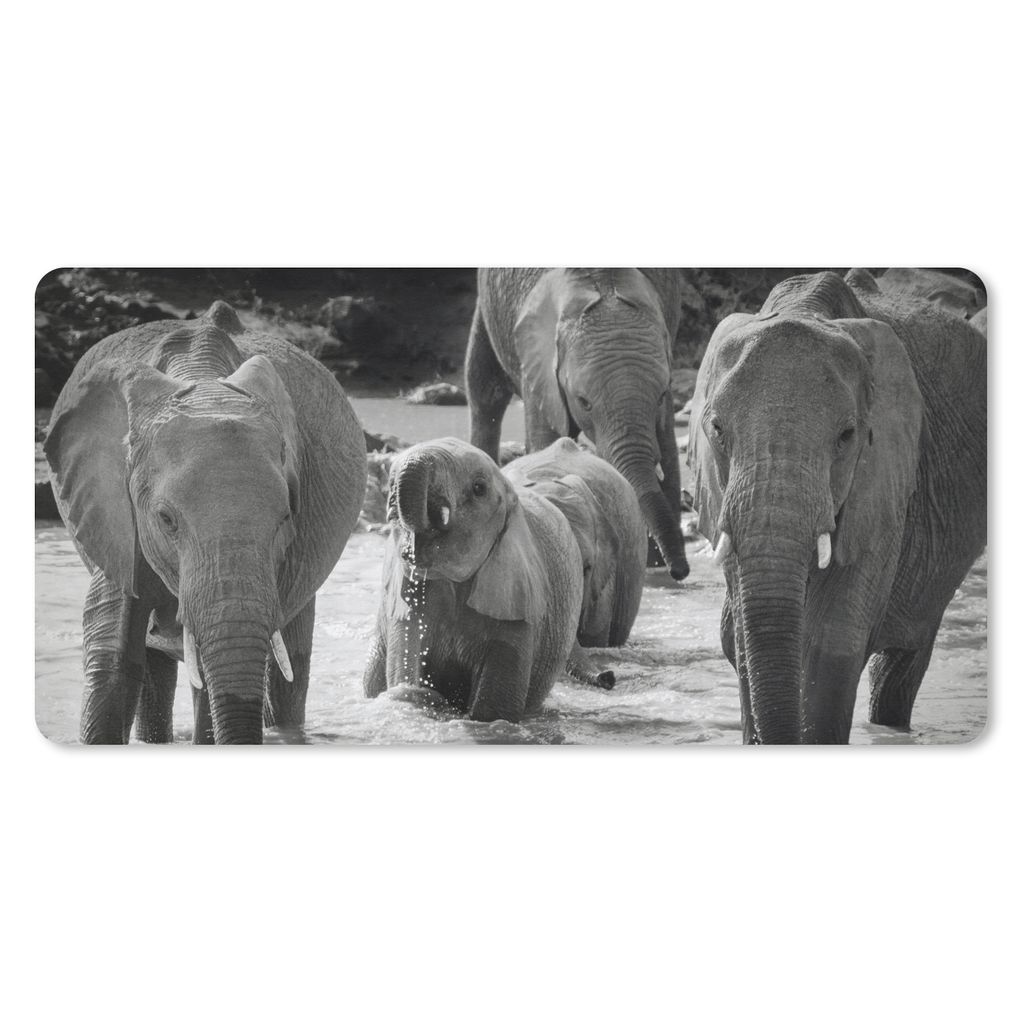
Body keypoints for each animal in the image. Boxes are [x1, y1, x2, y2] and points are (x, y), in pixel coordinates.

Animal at [362, 437, 583, 722]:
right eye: (390, 483)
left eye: (479, 488)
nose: (391, 506)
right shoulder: (405, 606)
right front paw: (419, 696)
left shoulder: (519, 607)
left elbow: (493, 709)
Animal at [465, 268, 689, 582]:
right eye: (584, 402)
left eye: (661, 396)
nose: (680, 571)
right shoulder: (540, 369)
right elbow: (545, 444)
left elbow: (667, 454)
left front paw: (652, 569)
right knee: (484, 390)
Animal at [687, 269, 986, 744]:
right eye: (716, 429)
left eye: (847, 436)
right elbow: (740, 636)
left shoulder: (884, 483)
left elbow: (830, 643)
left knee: (902, 663)